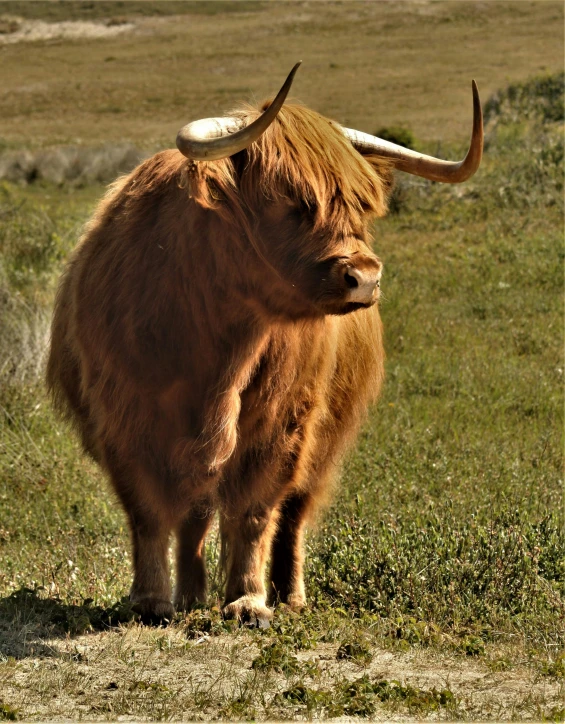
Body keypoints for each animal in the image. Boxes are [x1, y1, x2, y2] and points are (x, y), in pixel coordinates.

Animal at [47, 65, 480, 624]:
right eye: (292, 202)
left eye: (361, 207)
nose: (364, 277)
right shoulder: (122, 420)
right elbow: (149, 512)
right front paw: (149, 600)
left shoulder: (283, 421)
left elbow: (254, 510)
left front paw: (248, 600)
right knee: (195, 517)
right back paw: (190, 596)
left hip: (324, 441)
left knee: (292, 514)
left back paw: (289, 594)